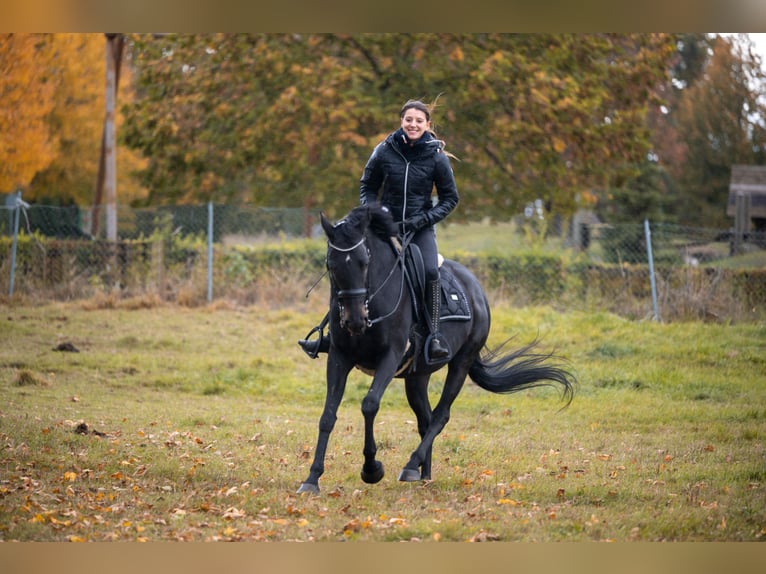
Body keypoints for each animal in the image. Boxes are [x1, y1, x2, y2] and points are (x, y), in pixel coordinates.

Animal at [297, 204, 575, 494]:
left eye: (364, 262)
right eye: (331, 264)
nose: (354, 321)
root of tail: (475, 288)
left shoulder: (390, 356)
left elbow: (370, 405)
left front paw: (372, 469)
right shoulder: (339, 357)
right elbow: (327, 415)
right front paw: (312, 478)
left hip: (461, 363)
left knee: (441, 416)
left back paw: (411, 465)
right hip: (417, 376)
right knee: (426, 419)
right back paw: (423, 474)